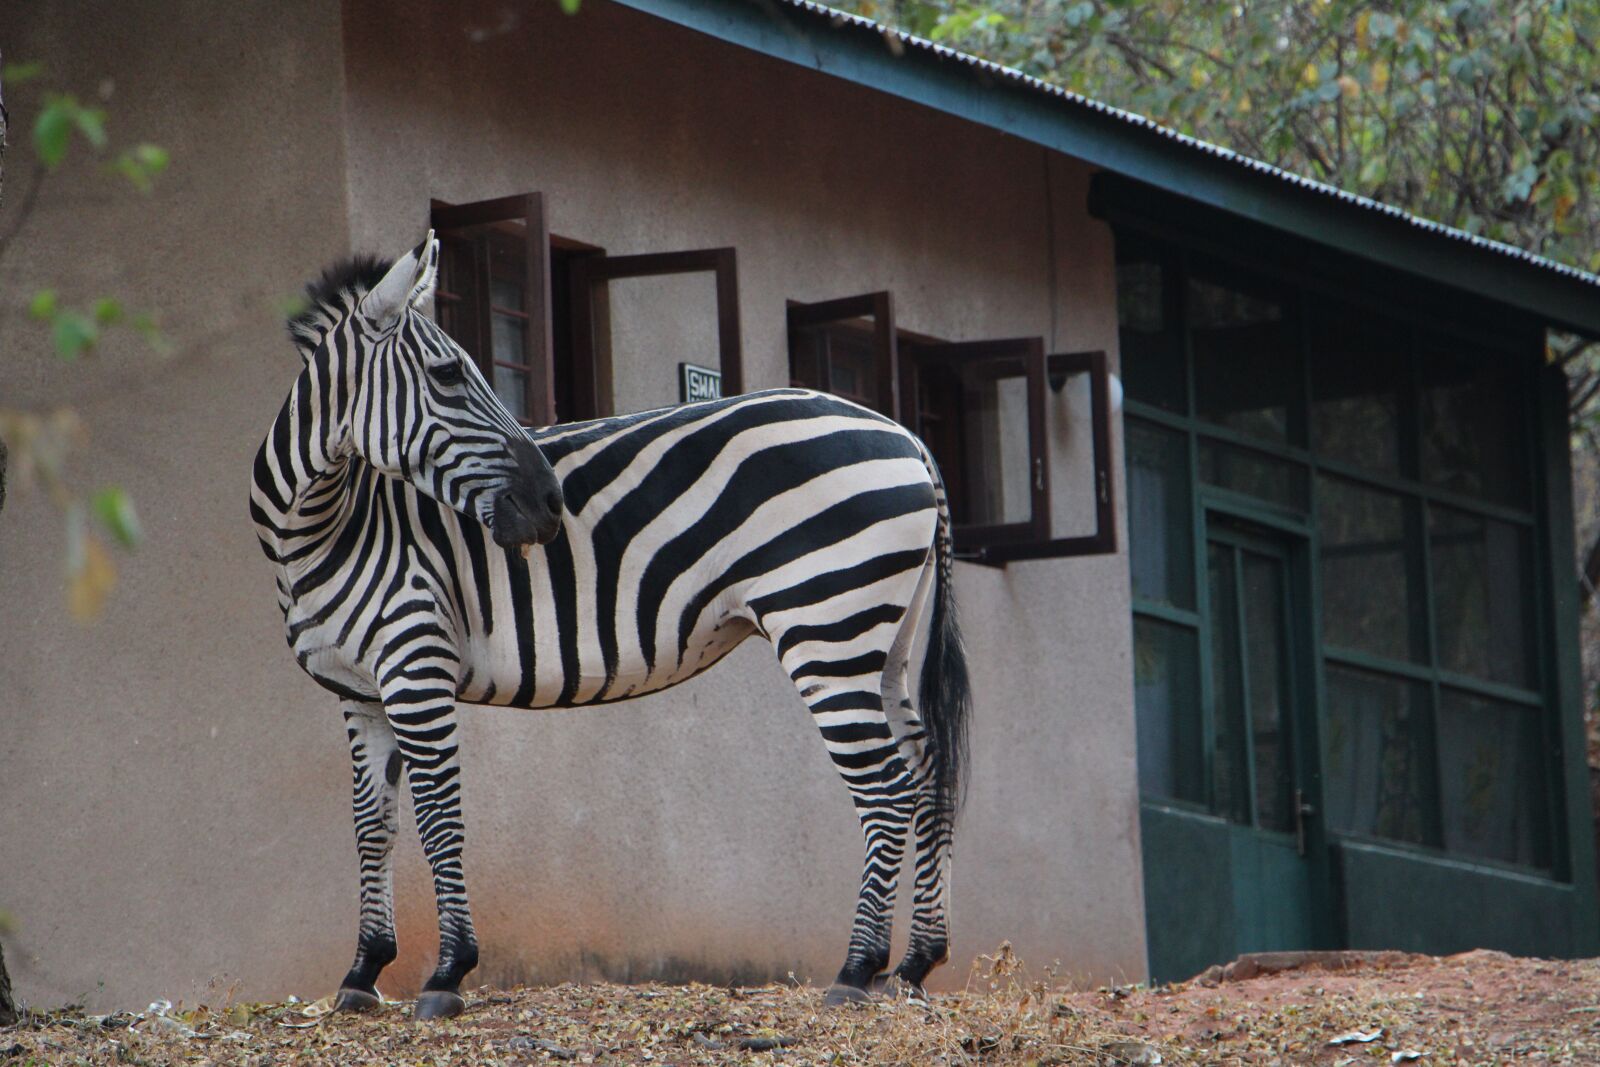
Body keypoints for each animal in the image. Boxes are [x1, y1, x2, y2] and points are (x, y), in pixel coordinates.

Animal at [250, 234, 972, 1019]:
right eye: (447, 374)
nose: (548, 502)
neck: (325, 524)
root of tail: (906, 436)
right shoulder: (358, 690)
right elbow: (372, 825)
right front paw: (363, 971)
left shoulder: (416, 663)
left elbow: (439, 816)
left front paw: (446, 973)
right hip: (883, 636)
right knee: (927, 770)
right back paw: (915, 963)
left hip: (826, 621)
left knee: (886, 786)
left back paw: (856, 968)